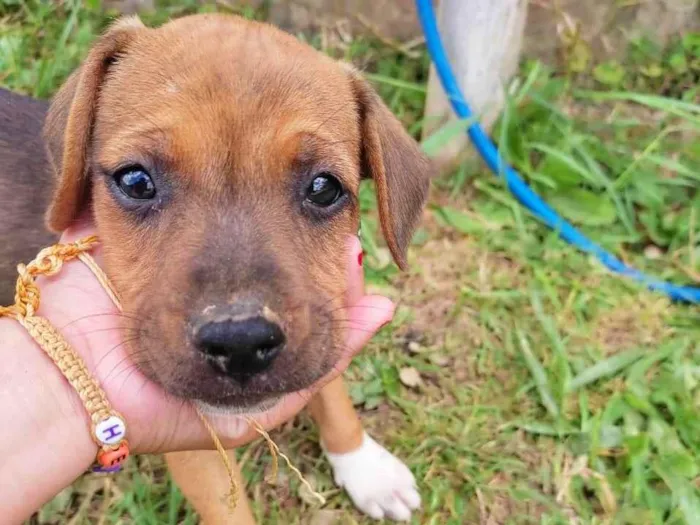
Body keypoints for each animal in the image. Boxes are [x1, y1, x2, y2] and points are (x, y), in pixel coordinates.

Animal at [0, 13, 432, 524]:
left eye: (324, 188)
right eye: (135, 180)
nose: (240, 342)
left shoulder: (323, 318)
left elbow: (334, 392)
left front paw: (364, 465)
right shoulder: (197, 455)